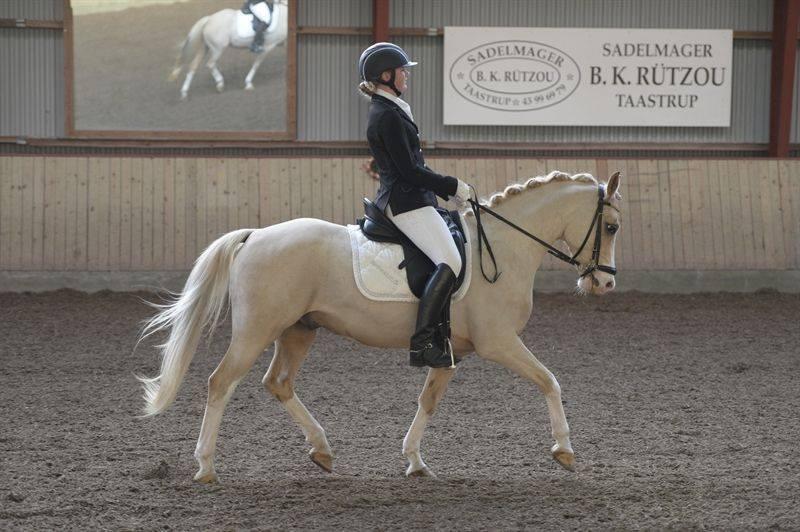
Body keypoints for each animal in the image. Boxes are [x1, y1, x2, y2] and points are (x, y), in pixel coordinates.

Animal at [136, 170, 622, 483]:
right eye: (613, 227)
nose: (604, 283)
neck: (503, 247)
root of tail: (254, 235)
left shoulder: (452, 351)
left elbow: (428, 401)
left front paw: (415, 461)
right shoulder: (499, 341)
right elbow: (550, 381)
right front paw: (564, 450)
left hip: (298, 329)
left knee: (278, 383)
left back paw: (322, 450)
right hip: (257, 330)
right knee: (221, 383)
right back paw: (205, 467)